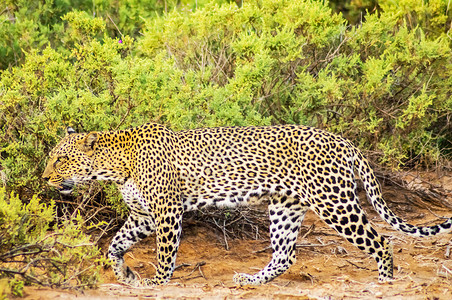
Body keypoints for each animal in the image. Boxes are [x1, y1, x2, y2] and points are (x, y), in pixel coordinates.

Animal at [42, 123, 452, 286]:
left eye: (60, 160)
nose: (44, 179)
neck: (115, 166)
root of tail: (341, 139)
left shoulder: (167, 212)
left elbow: (164, 254)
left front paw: (156, 282)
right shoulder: (142, 215)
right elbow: (115, 245)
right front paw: (125, 274)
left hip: (333, 202)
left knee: (381, 240)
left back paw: (385, 280)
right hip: (285, 206)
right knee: (285, 254)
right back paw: (250, 280)